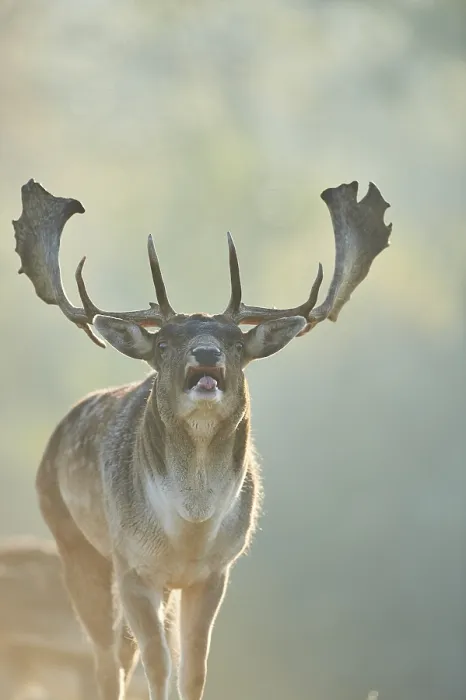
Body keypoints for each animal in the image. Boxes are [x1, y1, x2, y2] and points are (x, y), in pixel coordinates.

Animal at [12, 178, 391, 700]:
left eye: (237, 343)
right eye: (164, 343)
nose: (207, 353)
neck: (189, 528)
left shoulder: (213, 573)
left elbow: (192, 670)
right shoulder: (132, 567)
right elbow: (158, 667)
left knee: (123, 655)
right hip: (73, 543)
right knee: (108, 659)